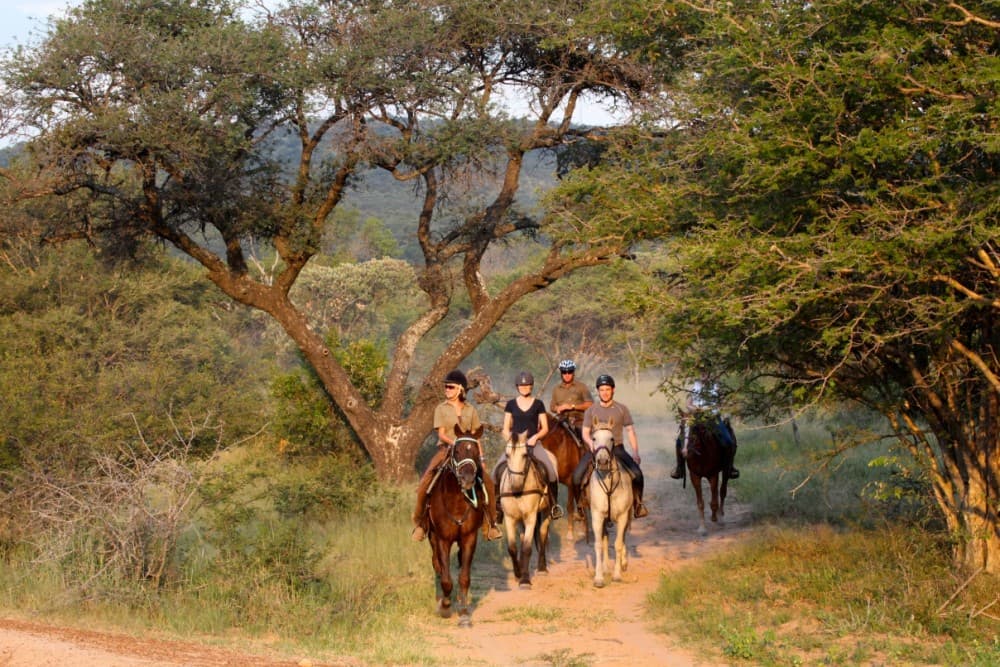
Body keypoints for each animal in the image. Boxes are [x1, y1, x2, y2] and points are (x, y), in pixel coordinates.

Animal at [425, 425, 487, 626]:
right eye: (457, 451)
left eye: (475, 451)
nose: (467, 478)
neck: (457, 503)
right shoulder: (442, 539)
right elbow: (445, 578)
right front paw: (445, 607)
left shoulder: (469, 538)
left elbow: (464, 577)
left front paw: (464, 613)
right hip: (432, 537)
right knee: (436, 565)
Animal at [498, 431, 552, 589]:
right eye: (507, 454)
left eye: (524, 454)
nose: (516, 485)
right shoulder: (509, 518)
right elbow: (512, 548)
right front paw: (518, 574)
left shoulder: (530, 517)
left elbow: (527, 547)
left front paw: (525, 580)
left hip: (546, 512)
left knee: (542, 534)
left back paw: (542, 568)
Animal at [587, 426, 633, 588]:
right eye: (594, 438)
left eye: (611, 438)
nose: (602, 461)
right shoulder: (597, 516)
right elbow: (599, 544)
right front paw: (599, 578)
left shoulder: (623, 516)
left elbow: (618, 544)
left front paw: (617, 575)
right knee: (605, 538)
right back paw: (606, 567)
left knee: (623, 537)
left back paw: (623, 563)